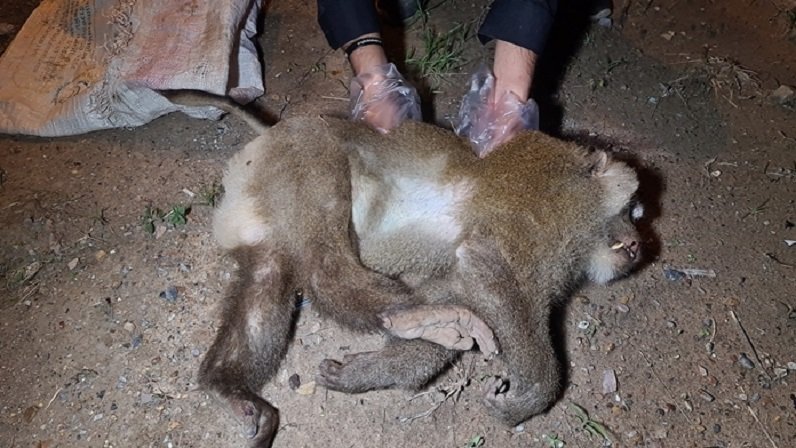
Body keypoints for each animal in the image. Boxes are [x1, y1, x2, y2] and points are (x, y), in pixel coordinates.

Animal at [167, 92, 643, 447]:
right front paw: (535, 393)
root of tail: (270, 135)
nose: (640, 243)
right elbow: (485, 263)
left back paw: (228, 389)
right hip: (302, 149)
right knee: (322, 251)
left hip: (258, 197)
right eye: (635, 209)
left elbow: (464, 293)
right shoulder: (554, 206)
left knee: (269, 273)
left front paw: (371, 373)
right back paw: (406, 313)